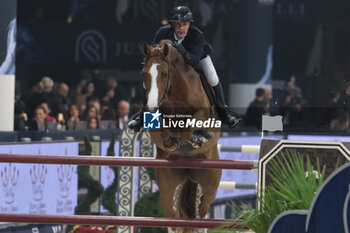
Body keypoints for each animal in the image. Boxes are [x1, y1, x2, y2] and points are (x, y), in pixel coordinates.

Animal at [142, 40, 221, 233]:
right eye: (144, 74)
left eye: (164, 74)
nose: (152, 107)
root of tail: (189, 173)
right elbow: (166, 131)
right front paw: (173, 143)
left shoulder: (203, 115)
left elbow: (190, 126)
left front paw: (199, 137)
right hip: (167, 181)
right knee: (172, 215)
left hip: (212, 178)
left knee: (203, 208)